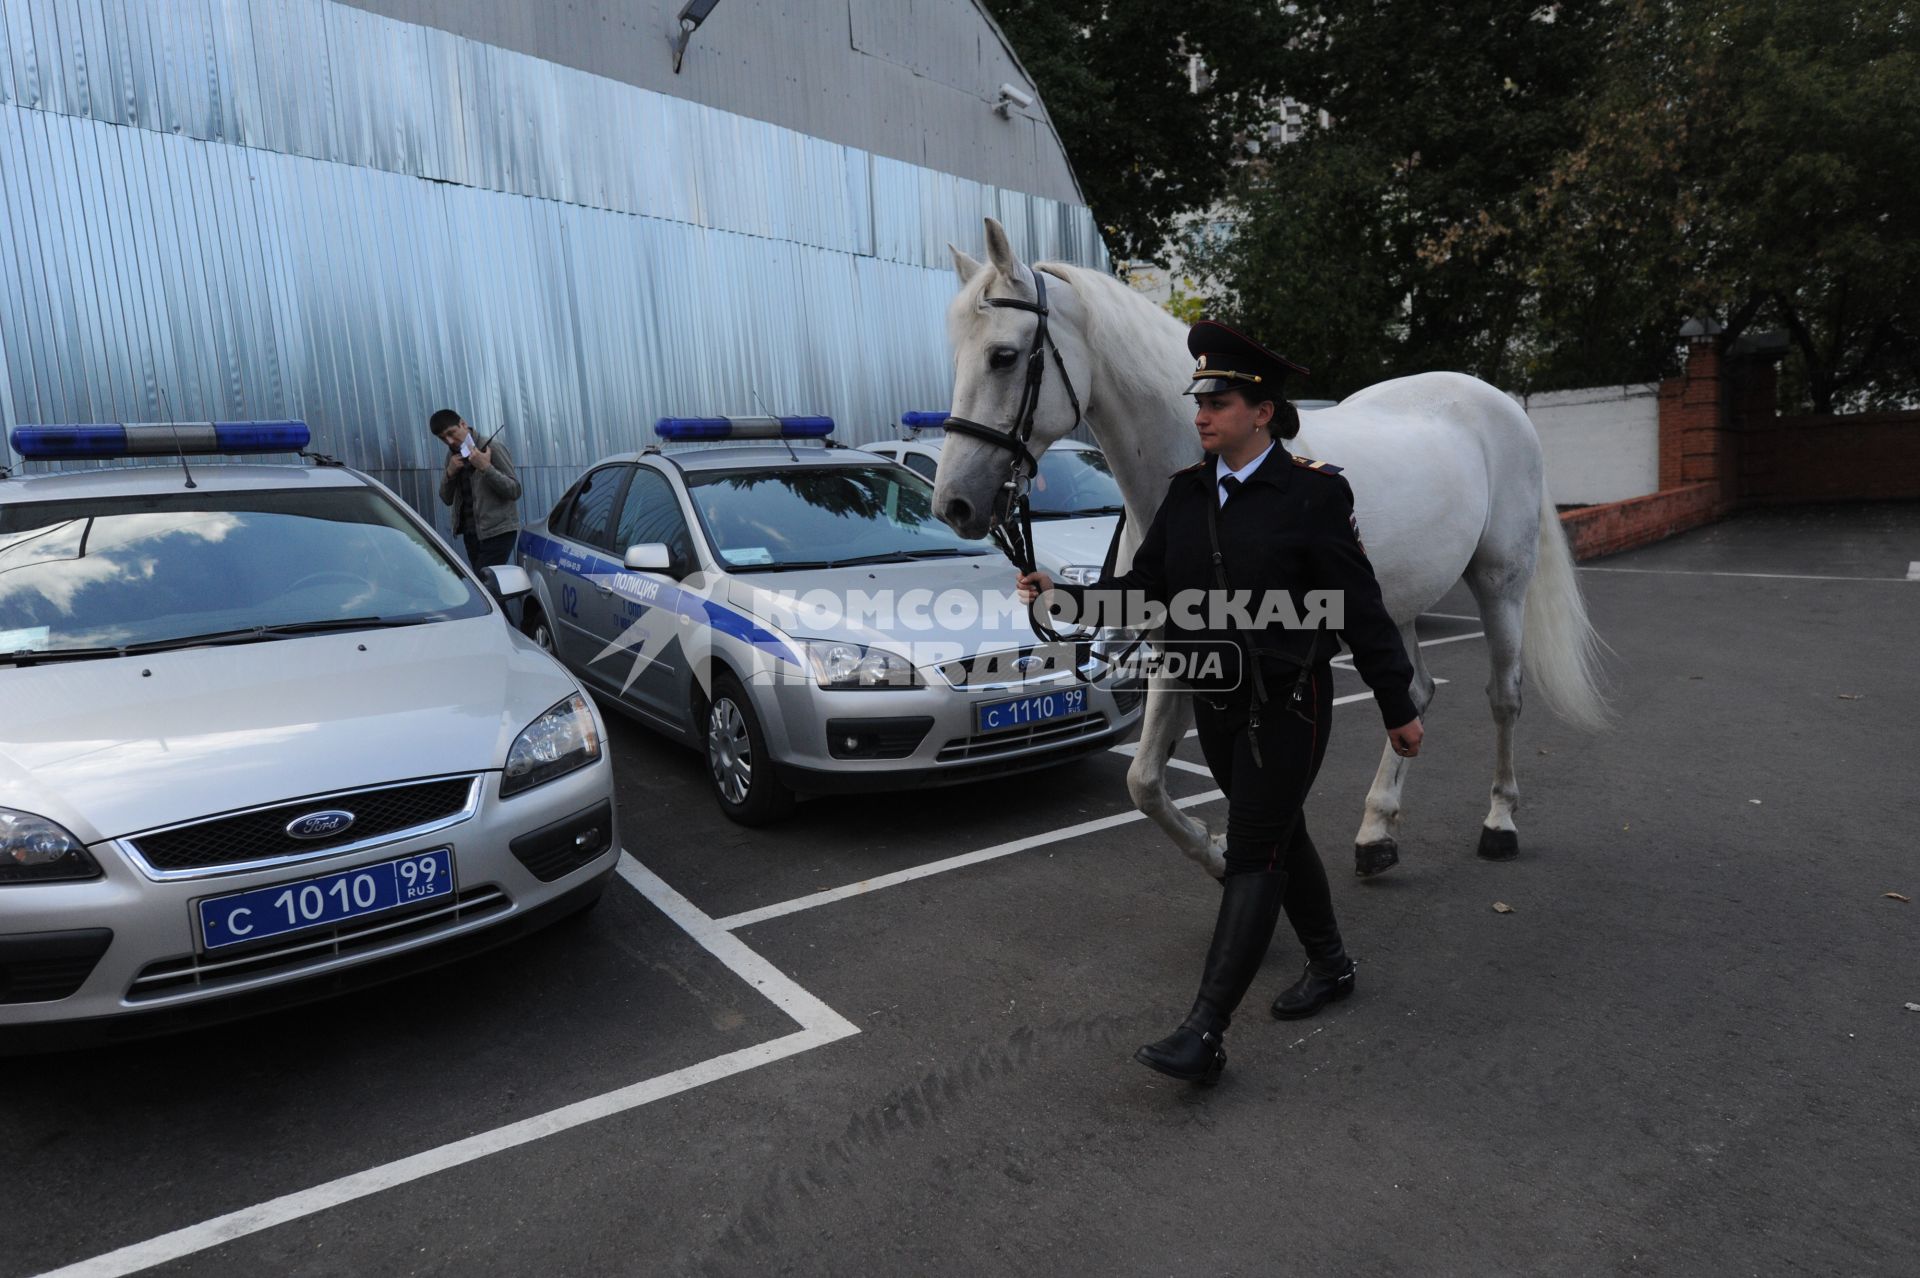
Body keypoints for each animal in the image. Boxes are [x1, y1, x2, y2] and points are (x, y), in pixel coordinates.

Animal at [929, 216, 1605, 875]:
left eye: (1004, 356)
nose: (954, 504)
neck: (1205, 480)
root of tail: (1497, 402)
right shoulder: (1179, 650)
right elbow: (1144, 782)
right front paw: (1219, 852)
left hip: (1501, 583)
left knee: (1503, 697)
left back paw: (1499, 822)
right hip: (1394, 603)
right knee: (1413, 693)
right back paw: (1376, 831)